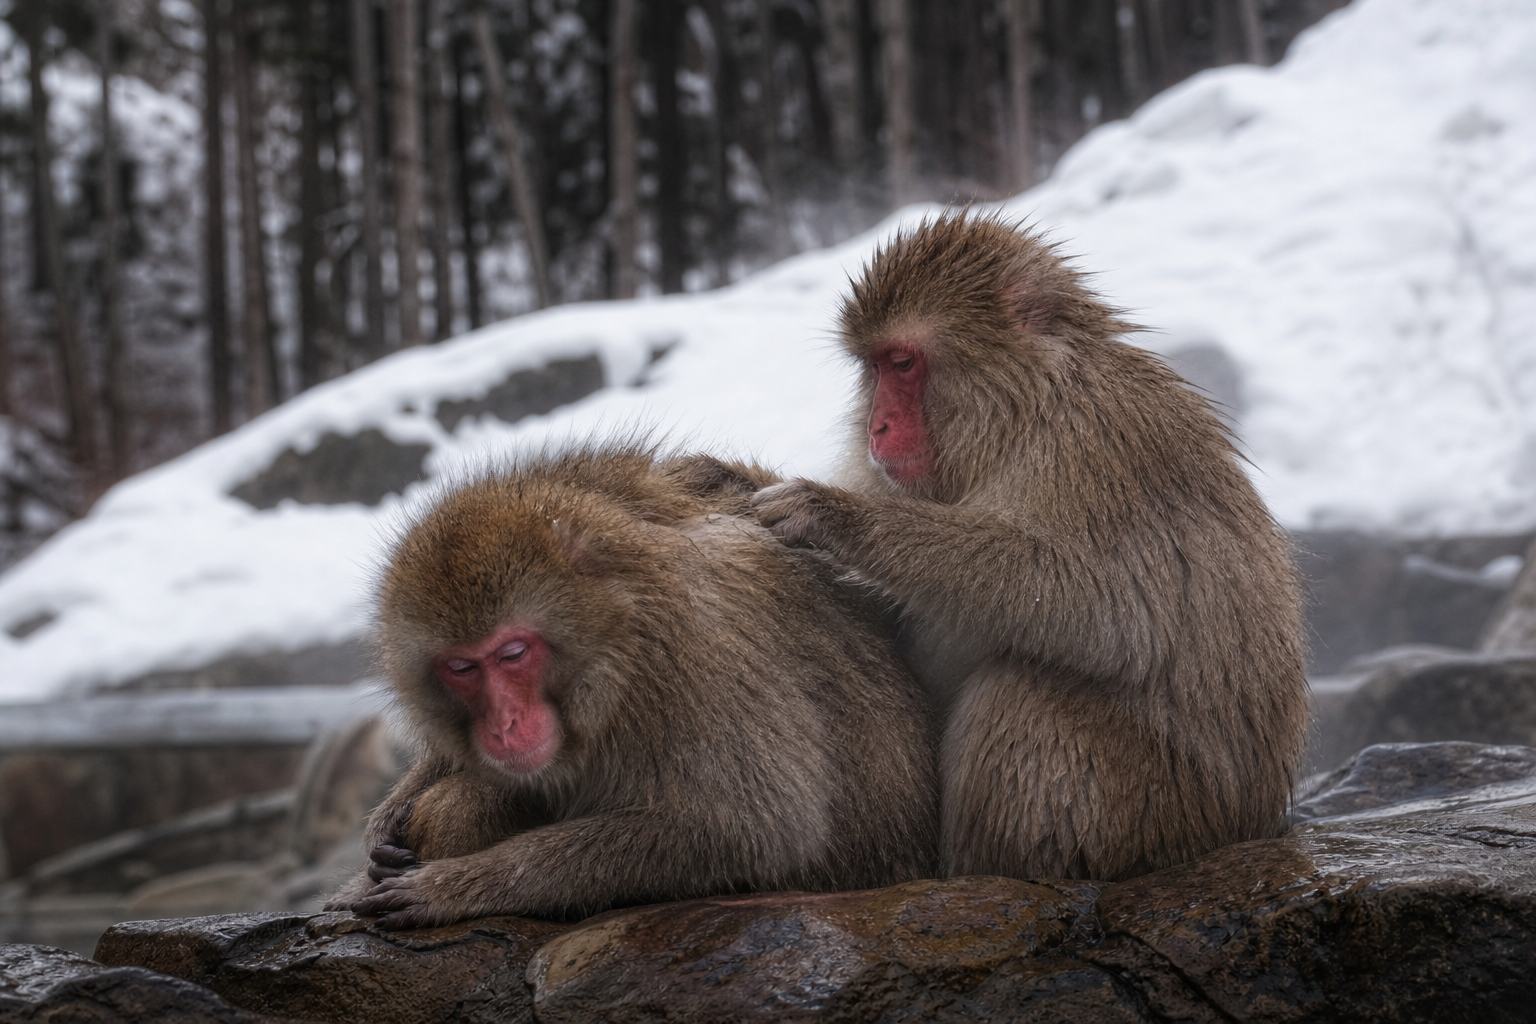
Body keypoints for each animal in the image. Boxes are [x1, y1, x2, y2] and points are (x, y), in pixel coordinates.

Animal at [324, 444, 938, 928]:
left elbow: (753, 825)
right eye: (463, 669)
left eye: (513, 654)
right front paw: (386, 823)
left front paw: (458, 885)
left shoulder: (685, 650)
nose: (505, 724)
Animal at [751, 213, 1310, 882]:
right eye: (874, 367)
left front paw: (836, 516)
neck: (1025, 412)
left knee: (1026, 690)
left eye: (903, 362)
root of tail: (1255, 818)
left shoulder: (1098, 445)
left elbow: (1107, 608)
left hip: (1157, 815)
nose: (874, 427)